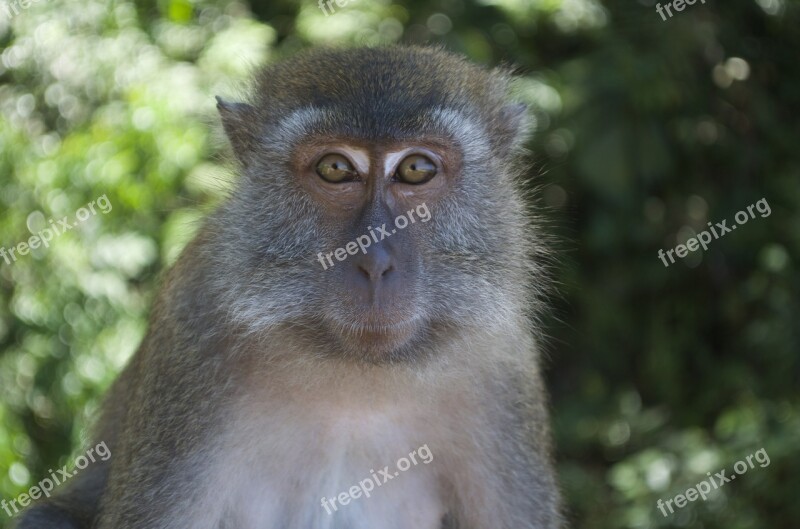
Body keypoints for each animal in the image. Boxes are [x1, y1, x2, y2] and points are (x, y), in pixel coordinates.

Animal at [12, 46, 564, 528]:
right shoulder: (194, 321)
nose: (374, 261)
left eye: (415, 168)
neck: (355, 374)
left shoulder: (503, 360)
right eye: (336, 168)